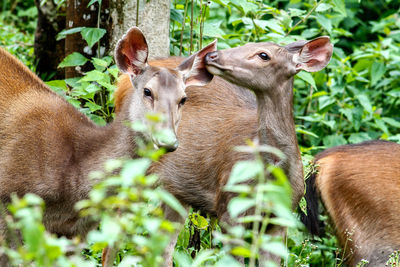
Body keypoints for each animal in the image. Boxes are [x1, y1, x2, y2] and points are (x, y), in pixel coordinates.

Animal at [111, 36, 332, 266]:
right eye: (247, 44)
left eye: (263, 54)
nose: (211, 55)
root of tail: (122, 81)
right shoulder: (229, 208)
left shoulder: (280, 218)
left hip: (175, 191)